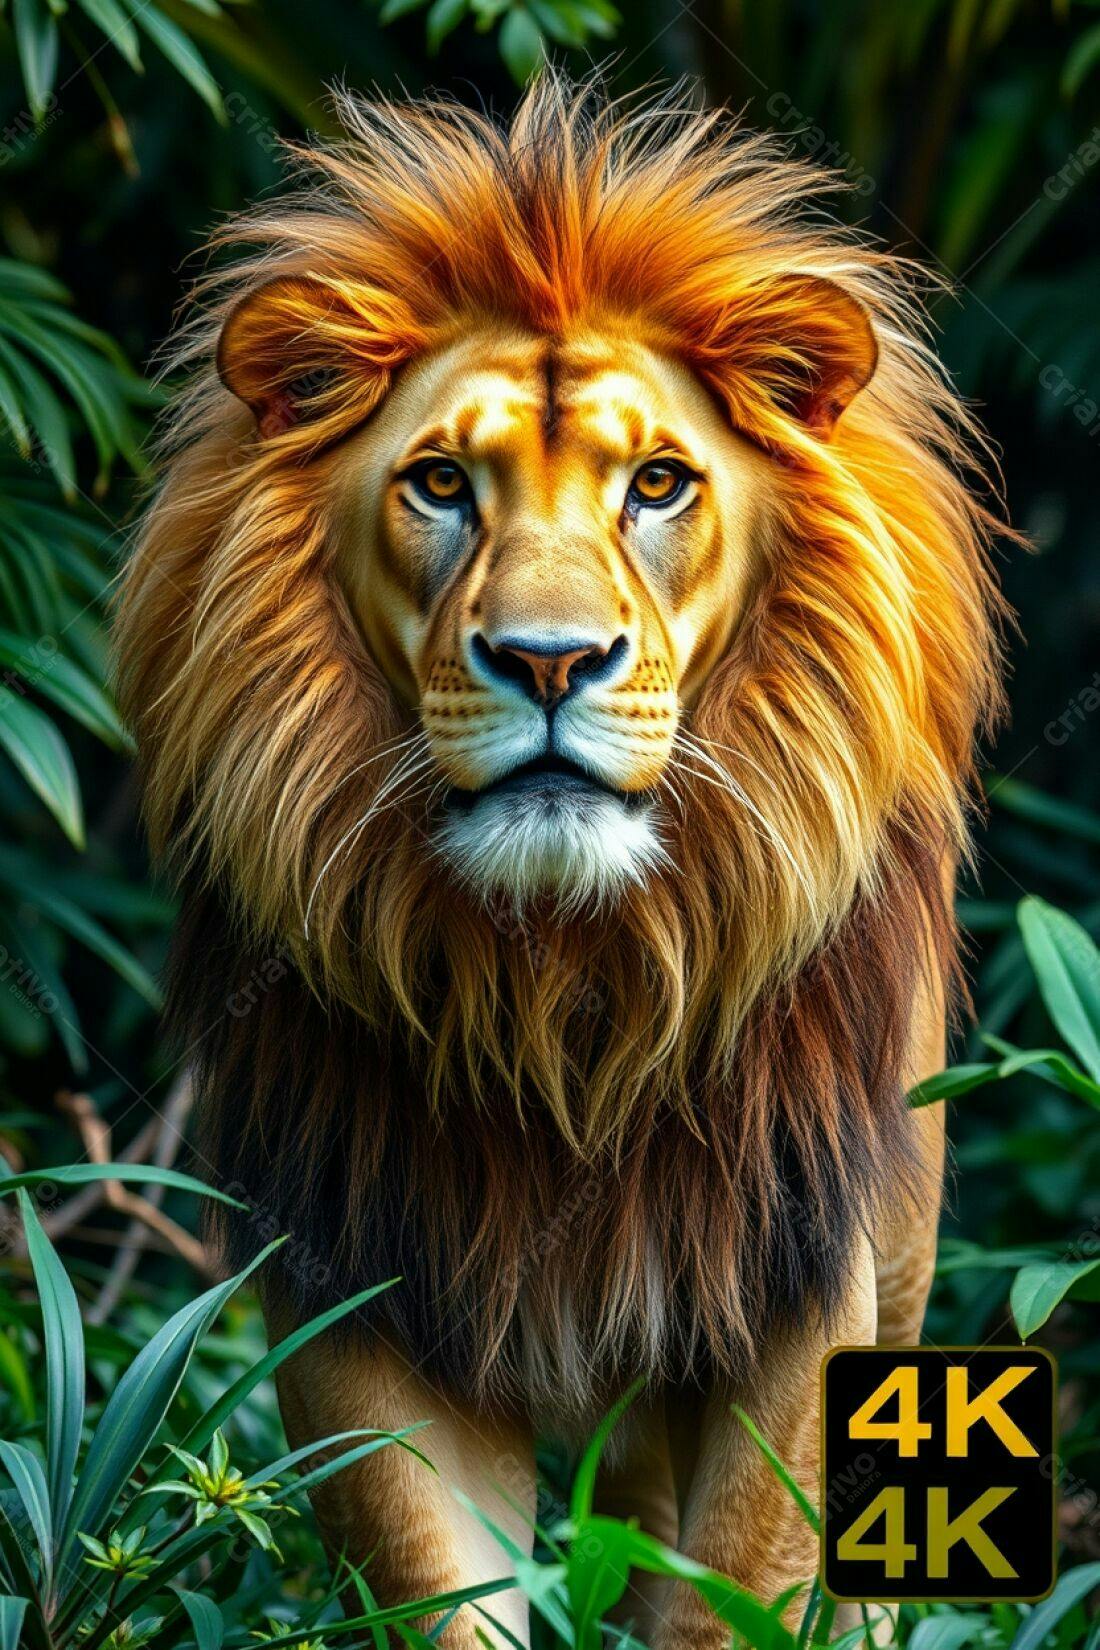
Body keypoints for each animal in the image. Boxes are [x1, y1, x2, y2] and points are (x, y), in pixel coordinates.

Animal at [116, 76, 1005, 1648]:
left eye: (656, 483)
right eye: (437, 485)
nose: (547, 660)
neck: (560, 981)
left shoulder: (793, 1284)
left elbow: (739, 1591)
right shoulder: (357, 1278)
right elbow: (432, 1589)